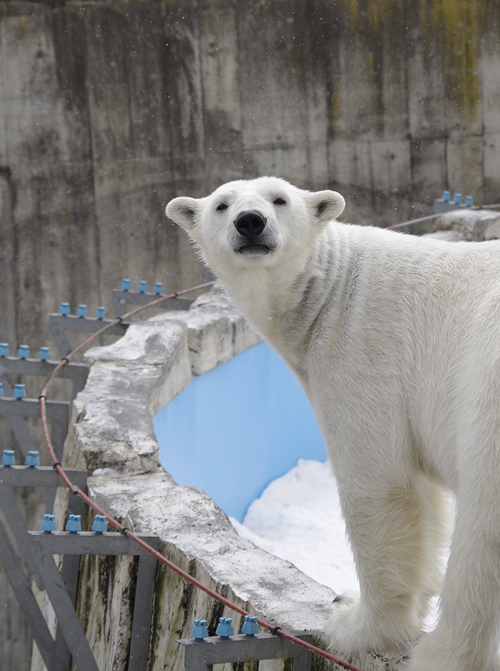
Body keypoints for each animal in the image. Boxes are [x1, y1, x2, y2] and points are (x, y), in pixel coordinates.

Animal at [168, 176, 500, 668]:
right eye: (222, 205)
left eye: (279, 199)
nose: (251, 223)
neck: (328, 289)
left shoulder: (362, 348)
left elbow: (379, 486)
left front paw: (355, 623)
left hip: (484, 389)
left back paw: (444, 653)